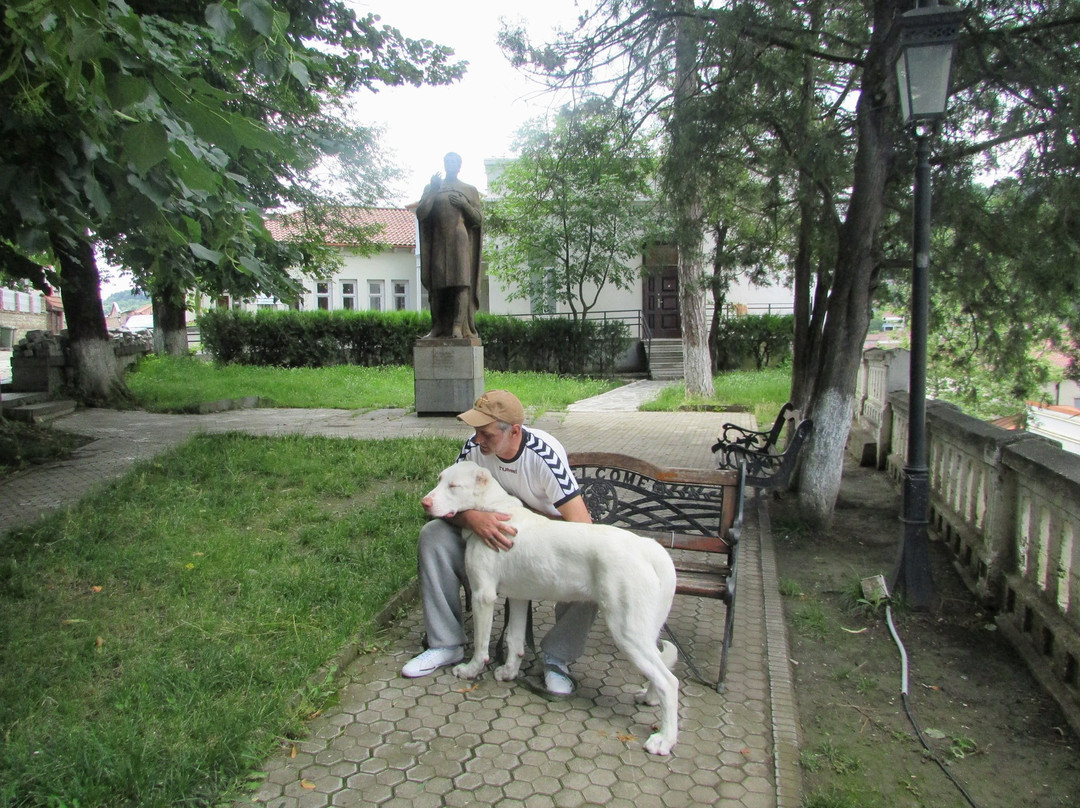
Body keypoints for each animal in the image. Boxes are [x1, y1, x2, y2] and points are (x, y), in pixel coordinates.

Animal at [419, 460, 678, 756]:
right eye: (439, 480)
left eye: (453, 486)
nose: (424, 502)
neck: (493, 508)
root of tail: (647, 546)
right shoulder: (519, 597)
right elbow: (515, 640)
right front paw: (508, 673)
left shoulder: (483, 595)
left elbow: (481, 645)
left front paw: (470, 670)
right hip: (644, 627)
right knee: (660, 672)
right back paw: (649, 698)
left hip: (628, 631)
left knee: (669, 682)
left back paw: (664, 739)